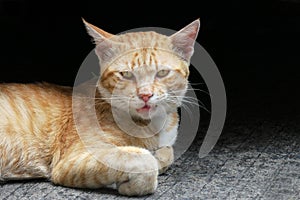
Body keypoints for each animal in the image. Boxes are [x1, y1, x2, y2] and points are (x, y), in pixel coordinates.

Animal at [0, 18, 202, 196]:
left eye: (162, 72)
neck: (153, 126)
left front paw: (158, 156)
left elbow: (167, 152)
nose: (145, 95)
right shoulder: (72, 160)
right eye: (126, 74)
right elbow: (142, 160)